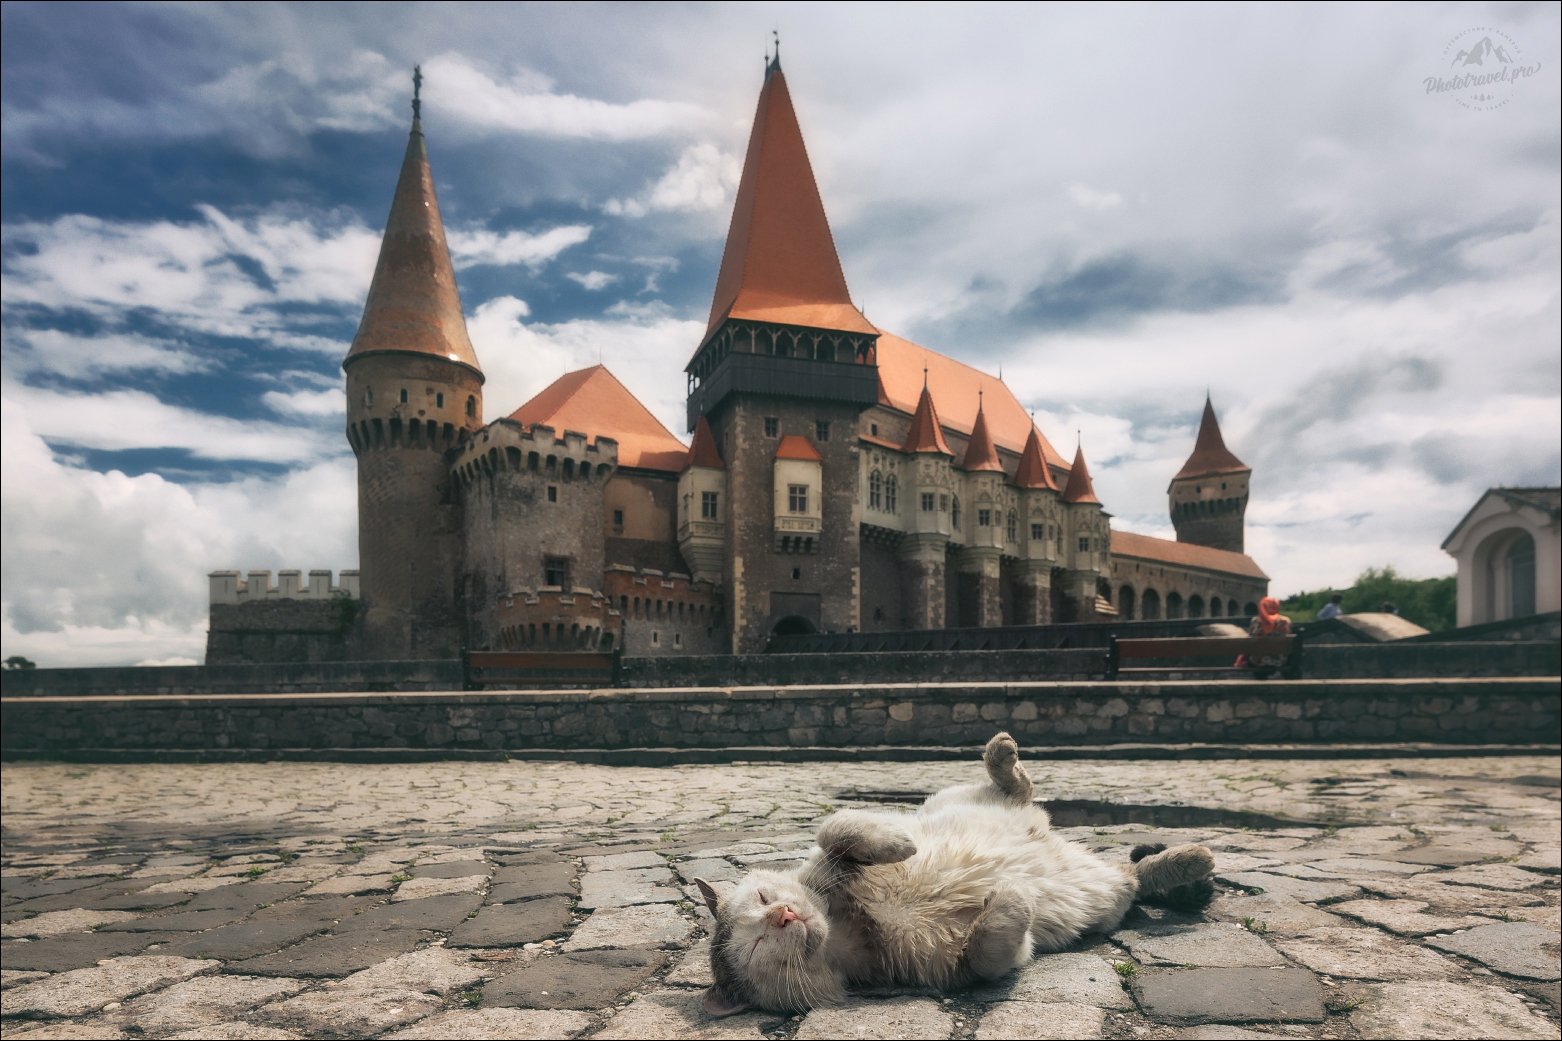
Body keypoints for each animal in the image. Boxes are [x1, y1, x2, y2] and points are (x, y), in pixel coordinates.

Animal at [699, 725, 1218, 1006]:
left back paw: (1002, 756)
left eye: (764, 897)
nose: (783, 915)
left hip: (951, 797)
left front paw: (897, 843)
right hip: (1105, 897)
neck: (846, 923)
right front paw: (1010, 895)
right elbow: (991, 944)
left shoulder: (827, 858)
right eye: (757, 945)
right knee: (1133, 877)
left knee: (1018, 791)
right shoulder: (964, 966)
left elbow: (836, 827)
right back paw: (1189, 864)